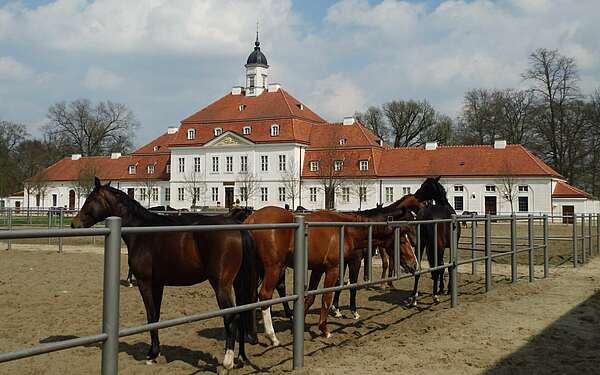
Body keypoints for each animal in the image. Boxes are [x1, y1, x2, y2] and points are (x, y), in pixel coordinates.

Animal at [71, 178, 256, 372]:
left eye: (90, 199)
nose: (74, 224)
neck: (143, 231)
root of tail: (237, 228)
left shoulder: (145, 283)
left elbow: (151, 316)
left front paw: (152, 354)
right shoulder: (158, 284)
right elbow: (156, 316)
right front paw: (155, 352)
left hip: (221, 285)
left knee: (231, 317)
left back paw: (227, 362)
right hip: (236, 283)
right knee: (242, 313)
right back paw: (240, 357)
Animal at [244, 207, 418, 346]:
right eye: (402, 241)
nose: (414, 264)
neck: (345, 231)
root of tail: (252, 219)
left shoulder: (318, 270)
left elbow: (310, 298)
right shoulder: (333, 269)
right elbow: (327, 298)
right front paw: (324, 329)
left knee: (251, 297)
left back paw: (253, 336)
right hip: (274, 268)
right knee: (264, 296)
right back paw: (272, 337)